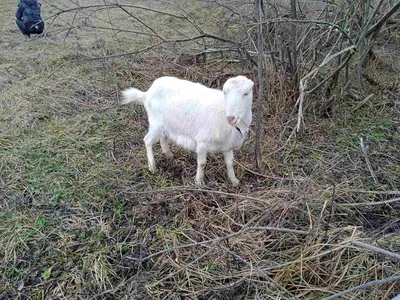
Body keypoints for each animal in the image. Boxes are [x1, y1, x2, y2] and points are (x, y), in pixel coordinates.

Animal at [120, 75, 255, 185]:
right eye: (225, 92)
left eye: (246, 93)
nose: (230, 118)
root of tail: (147, 93)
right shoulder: (202, 142)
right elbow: (202, 163)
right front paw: (199, 182)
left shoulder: (228, 145)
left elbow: (230, 163)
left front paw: (234, 181)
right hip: (155, 122)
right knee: (147, 140)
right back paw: (152, 166)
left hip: (165, 123)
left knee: (163, 137)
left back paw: (168, 154)